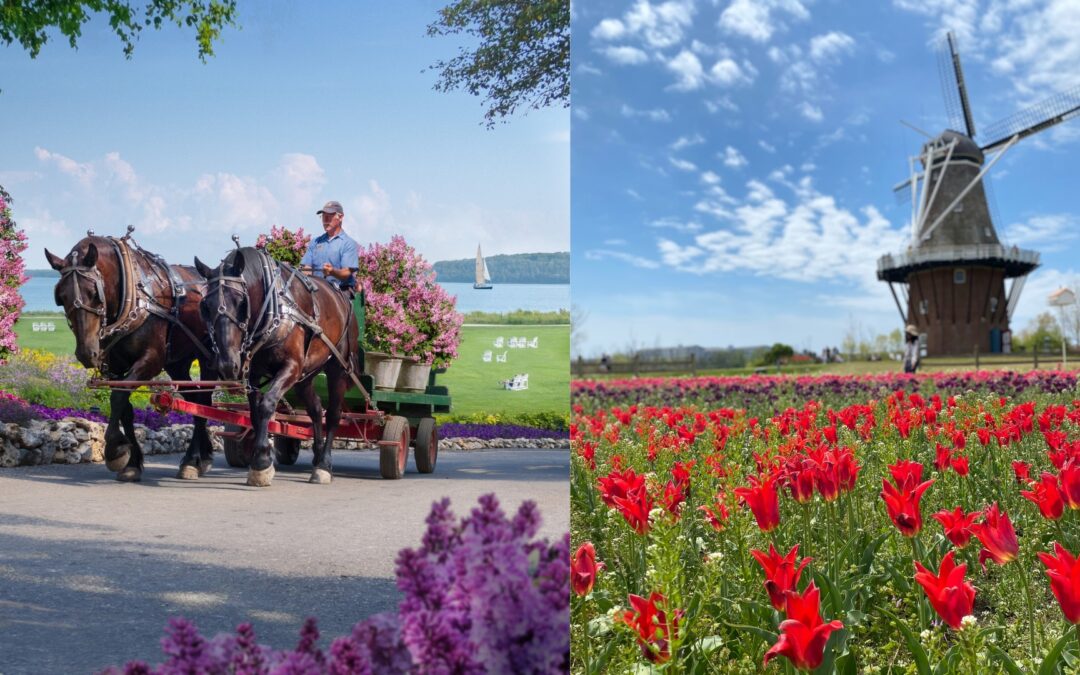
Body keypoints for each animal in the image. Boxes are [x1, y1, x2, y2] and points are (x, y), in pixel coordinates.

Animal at [45, 230, 217, 479]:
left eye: (94, 293)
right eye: (61, 297)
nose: (87, 353)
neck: (132, 297)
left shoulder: (151, 361)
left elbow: (118, 397)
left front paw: (115, 449)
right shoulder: (115, 367)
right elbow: (124, 408)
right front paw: (132, 462)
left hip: (209, 357)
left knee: (204, 399)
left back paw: (193, 460)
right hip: (178, 362)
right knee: (194, 400)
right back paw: (201, 456)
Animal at [195, 246, 362, 483]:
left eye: (241, 301)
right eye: (205, 306)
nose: (228, 364)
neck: (273, 309)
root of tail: (343, 298)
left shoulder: (291, 367)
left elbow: (267, 404)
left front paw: (262, 462)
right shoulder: (254, 374)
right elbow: (254, 413)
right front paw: (261, 458)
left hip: (338, 368)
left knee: (333, 414)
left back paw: (324, 465)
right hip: (306, 375)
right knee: (315, 408)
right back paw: (317, 455)